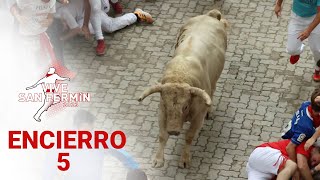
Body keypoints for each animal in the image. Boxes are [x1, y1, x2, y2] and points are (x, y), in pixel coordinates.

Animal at [138, 9, 228, 168]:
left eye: (185, 106)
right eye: (166, 105)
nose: (173, 131)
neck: (180, 74)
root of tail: (210, 16)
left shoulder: (198, 116)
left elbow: (189, 136)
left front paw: (185, 159)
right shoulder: (162, 112)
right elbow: (162, 136)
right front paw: (158, 159)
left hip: (214, 80)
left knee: (213, 90)